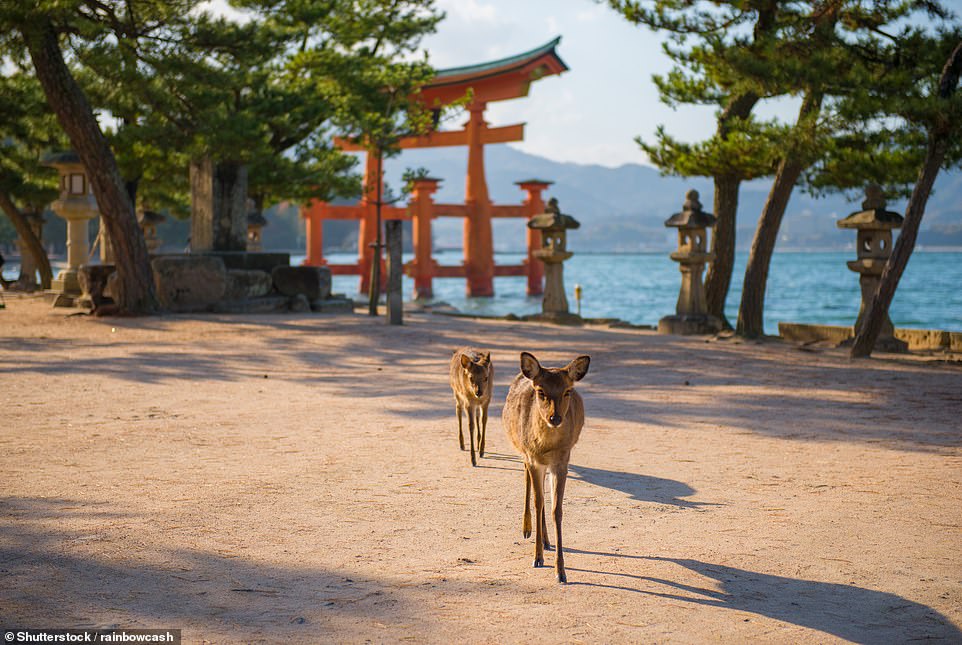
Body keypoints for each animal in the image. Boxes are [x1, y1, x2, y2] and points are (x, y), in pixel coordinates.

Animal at [498, 352, 588, 584]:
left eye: (567, 391)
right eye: (541, 391)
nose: (555, 418)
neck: (546, 447)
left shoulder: (562, 462)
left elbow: (557, 509)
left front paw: (561, 571)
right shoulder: (533, 459)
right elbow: (538, 503)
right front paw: (537, 558)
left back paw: (547, 541)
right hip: (523, 452)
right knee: (527, 482)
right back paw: (527, 530)